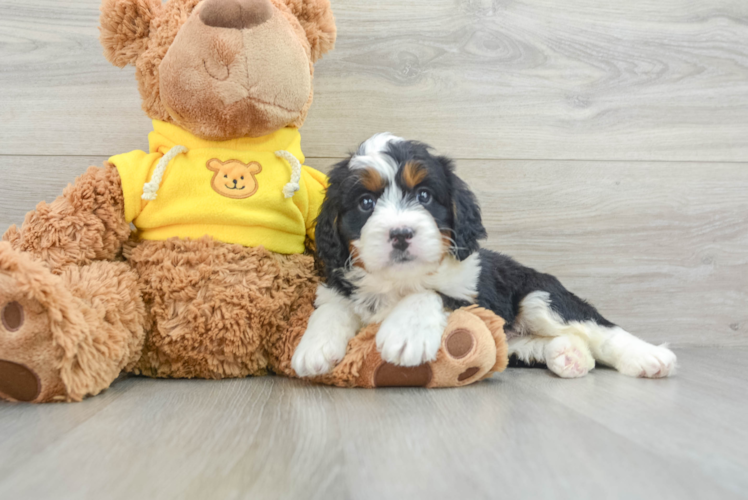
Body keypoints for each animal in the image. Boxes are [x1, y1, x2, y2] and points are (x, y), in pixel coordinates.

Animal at [292, 133, 676, 378]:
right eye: (366, 203)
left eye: (425, 196)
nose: (400, 234)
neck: (400, 280)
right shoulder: (340, 283)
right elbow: (333, 307)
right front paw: (314, 347)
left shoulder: (476, 293)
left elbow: (430, 294)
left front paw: (406, 333)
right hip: (515, 339)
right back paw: (569, 356)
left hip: (540, 295)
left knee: (600, 328)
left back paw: (650, 357)